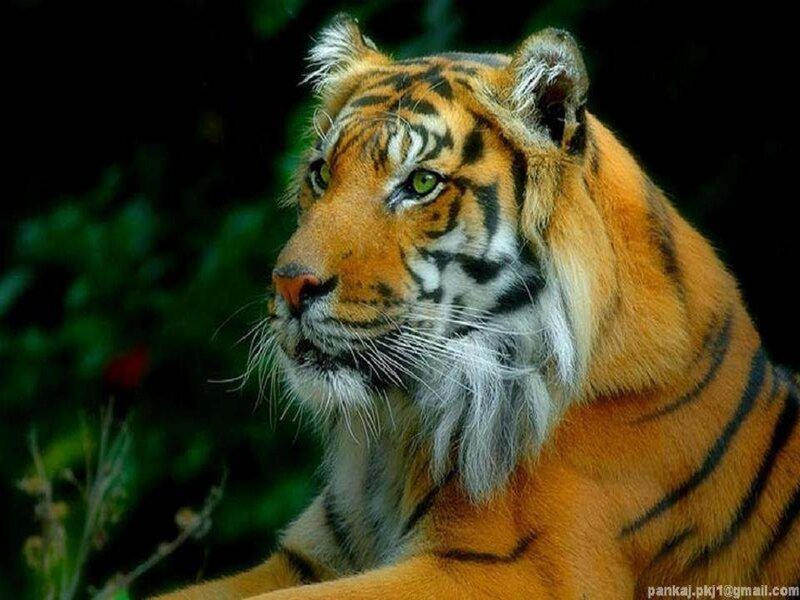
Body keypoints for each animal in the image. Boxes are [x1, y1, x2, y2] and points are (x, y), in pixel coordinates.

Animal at [157, 14, 800, 600]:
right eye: (321, 174)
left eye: (420, 184)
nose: (289, 286)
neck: (398, 435)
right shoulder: (307, 555)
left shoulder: (511, 569)